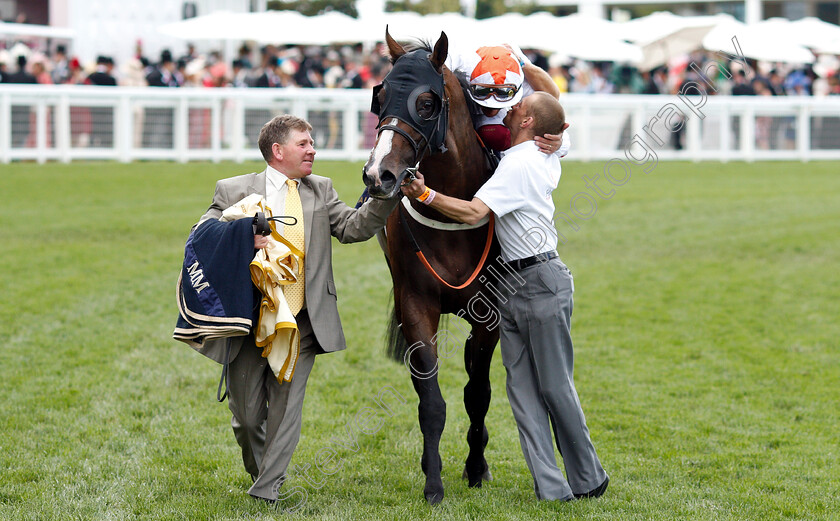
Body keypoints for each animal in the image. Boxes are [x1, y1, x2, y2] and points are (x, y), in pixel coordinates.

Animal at [362, 29, 506, 504]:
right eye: (380, 96)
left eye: (426, 102)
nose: (379, 175)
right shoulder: (415, 304)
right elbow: (431, 400)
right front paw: (433, 482)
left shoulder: (490, 313)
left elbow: (477, 393)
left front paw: (476, 468)